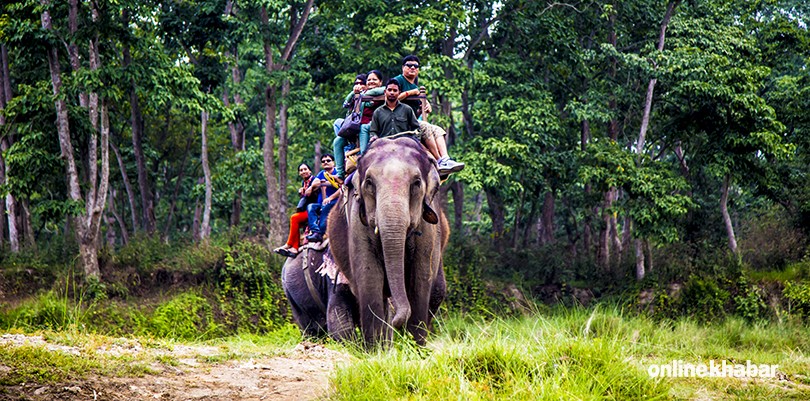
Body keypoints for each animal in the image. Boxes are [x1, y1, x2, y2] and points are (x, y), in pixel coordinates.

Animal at [326, 137, 448, 344]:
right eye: (369, 183)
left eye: (416, 183)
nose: (397, 322)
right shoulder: (357, 217)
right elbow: (369, 277)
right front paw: (376, 349)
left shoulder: (429, 226)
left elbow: (420, 277)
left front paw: (416, 347)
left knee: (437, 291)